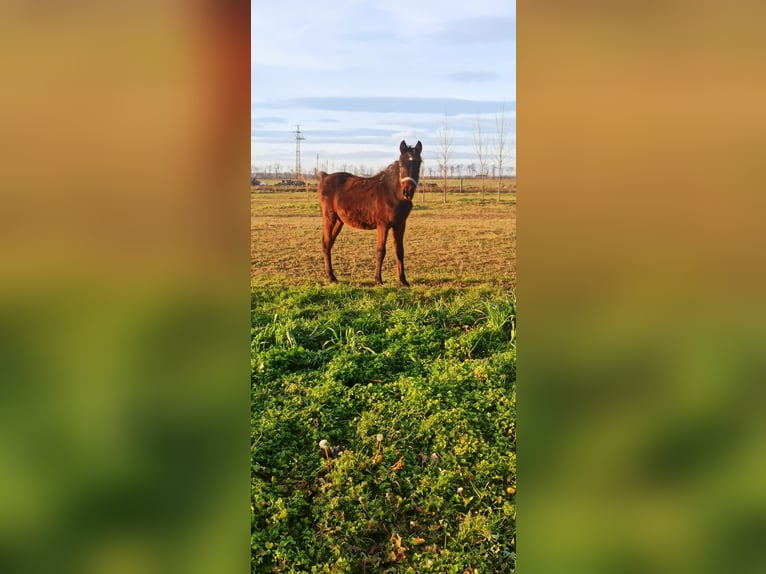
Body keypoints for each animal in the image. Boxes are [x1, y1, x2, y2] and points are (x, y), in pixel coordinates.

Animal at [318, 140, 426, 288]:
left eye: (418, 163)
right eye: (401, 164)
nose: (407, 192)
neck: (392, 193)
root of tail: (325, 177)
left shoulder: (400, 225)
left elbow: (399, 251)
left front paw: (403, 281)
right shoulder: (383, 225)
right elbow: (380, 250)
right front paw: (378, 280)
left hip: (339, 221)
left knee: (329, 243)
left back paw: (333, 277)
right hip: (329, 218)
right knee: (325, 243)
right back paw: (330, 277)